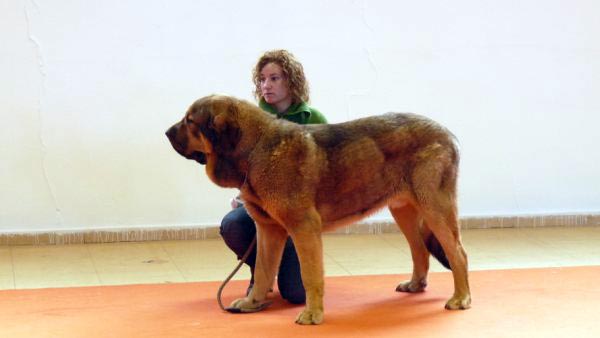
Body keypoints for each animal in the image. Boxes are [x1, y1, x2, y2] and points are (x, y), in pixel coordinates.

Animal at [166, 94, 472, 324]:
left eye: (190, 121)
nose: (167, 132)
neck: (255, 150)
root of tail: (448, 134)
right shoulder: (268, 230)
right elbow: (263, 269)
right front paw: (254, 303)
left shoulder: (304, 228)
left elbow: (310, 275)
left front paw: (312, 315)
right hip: (405, 210)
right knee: (420, 250)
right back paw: (415, 285)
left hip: (435, 206)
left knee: (458, 253)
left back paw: (461, 298)